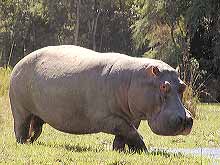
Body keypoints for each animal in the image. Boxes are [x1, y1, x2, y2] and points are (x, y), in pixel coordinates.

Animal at [9, 45, 193, 152]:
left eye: (183, 86)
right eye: (164, 86)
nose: (186, 119)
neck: (133, 79)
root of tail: (19, 62)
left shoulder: (131, 116)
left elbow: (126, 132)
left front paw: (119, 151)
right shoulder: (105, 118)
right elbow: (128, 130)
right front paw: (142, 149)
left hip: (39, 114)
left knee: (36, 128)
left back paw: (31, 141)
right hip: (20, 109)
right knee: (21, 126)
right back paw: (22, 143)